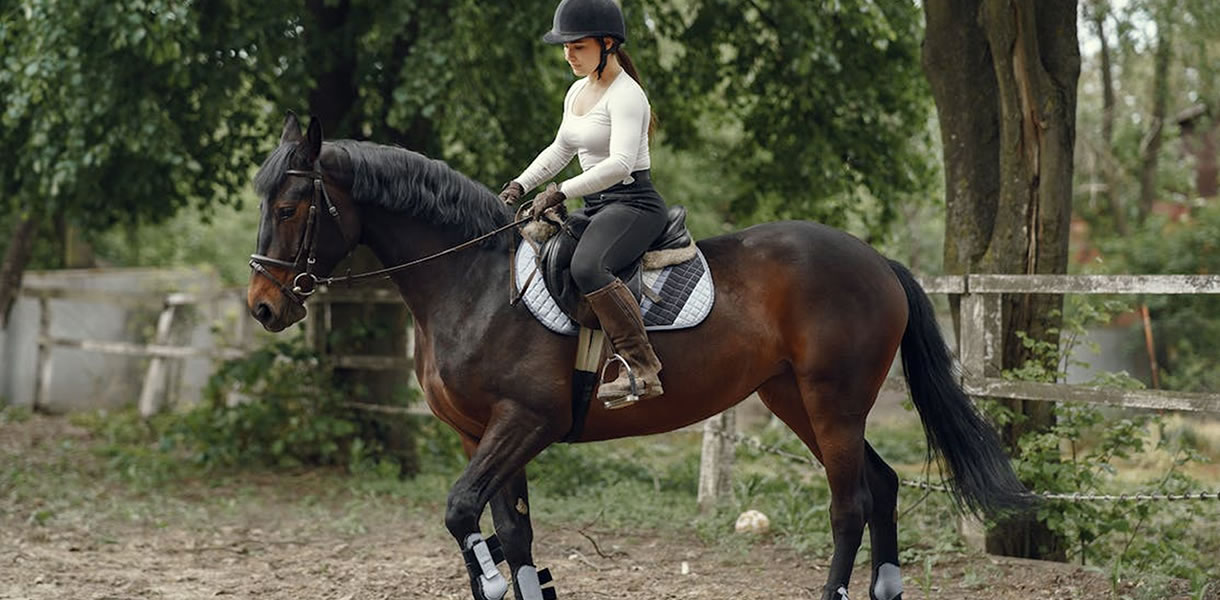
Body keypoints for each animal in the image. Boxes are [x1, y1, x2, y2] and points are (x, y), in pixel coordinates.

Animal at [246, 114, 1030, 600]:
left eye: (288, 208)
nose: (263, 307)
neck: (472, 282)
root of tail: (876, 261)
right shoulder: (481, 434)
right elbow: (510, 532)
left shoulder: (524, 422)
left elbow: (464, 514)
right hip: (796, 399)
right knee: (883, 485)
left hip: (833, 401)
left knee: (851, 503)